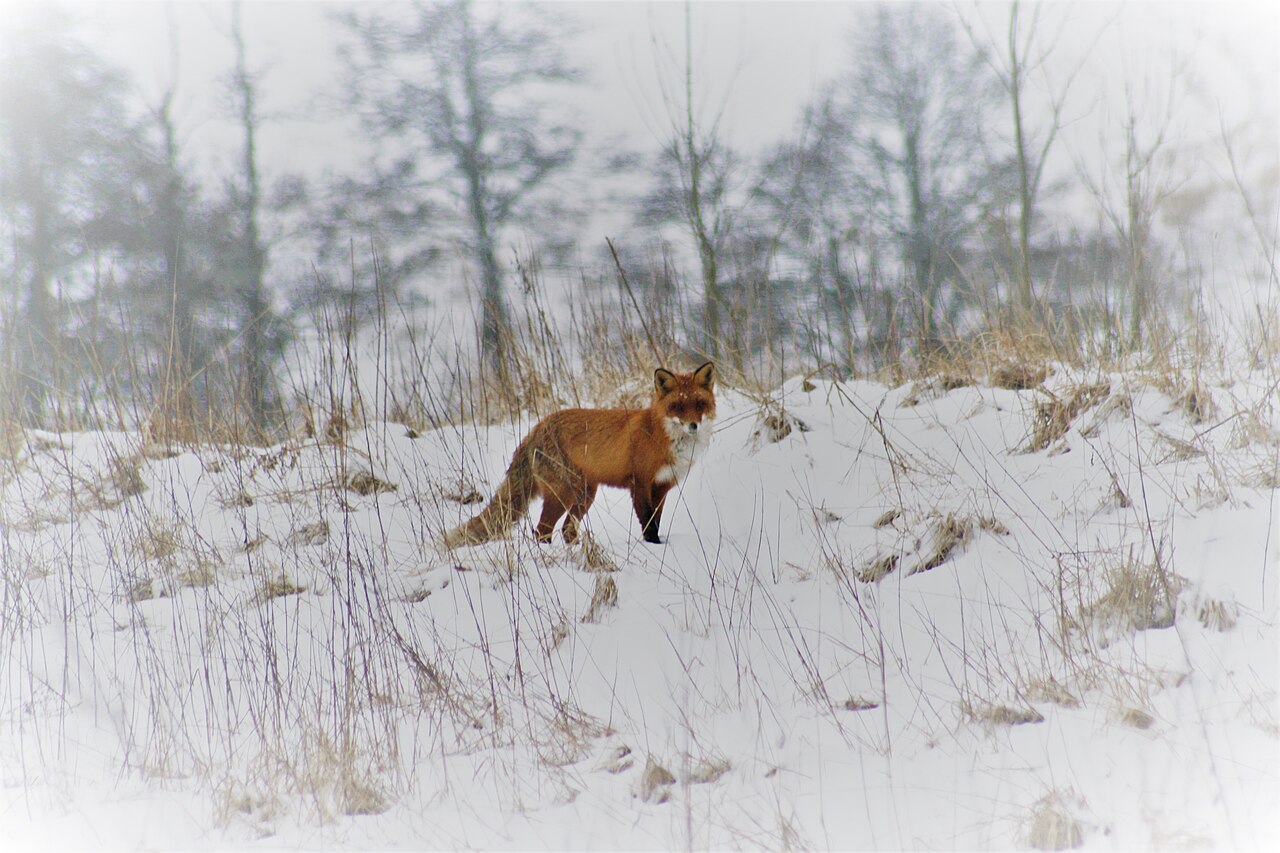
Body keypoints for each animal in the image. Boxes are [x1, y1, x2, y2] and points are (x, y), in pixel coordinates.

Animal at [443, 362, 715, 548]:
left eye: (699, 404)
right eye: (677, 407)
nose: (693, 426)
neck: (661, 436)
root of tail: (537, 428)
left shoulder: (662, 487)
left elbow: (656, 521)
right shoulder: (640, 484)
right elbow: (648, 524)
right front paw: (654, 547)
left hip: (584, 495)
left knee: (566, 530)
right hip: (563, 493)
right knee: (542, 531)